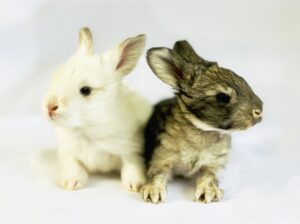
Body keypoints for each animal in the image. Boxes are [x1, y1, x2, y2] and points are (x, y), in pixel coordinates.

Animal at [44, 27, 152, 192]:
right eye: (55, 78)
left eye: (86, 90)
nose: (50, 107)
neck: (89, 130)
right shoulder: (67, 152)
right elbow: (73, 166)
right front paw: (72, 183)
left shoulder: (133, 151)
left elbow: (132, 167)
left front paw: (136, 185)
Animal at [142, 40, 262, 203]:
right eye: (222, 97)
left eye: (244, 80)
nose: (259, 111)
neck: (201, 128)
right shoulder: (162, 155)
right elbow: (158, 173)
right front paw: (153, 192)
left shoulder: (213, 163)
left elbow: (209, 176)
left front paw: (209, 192)